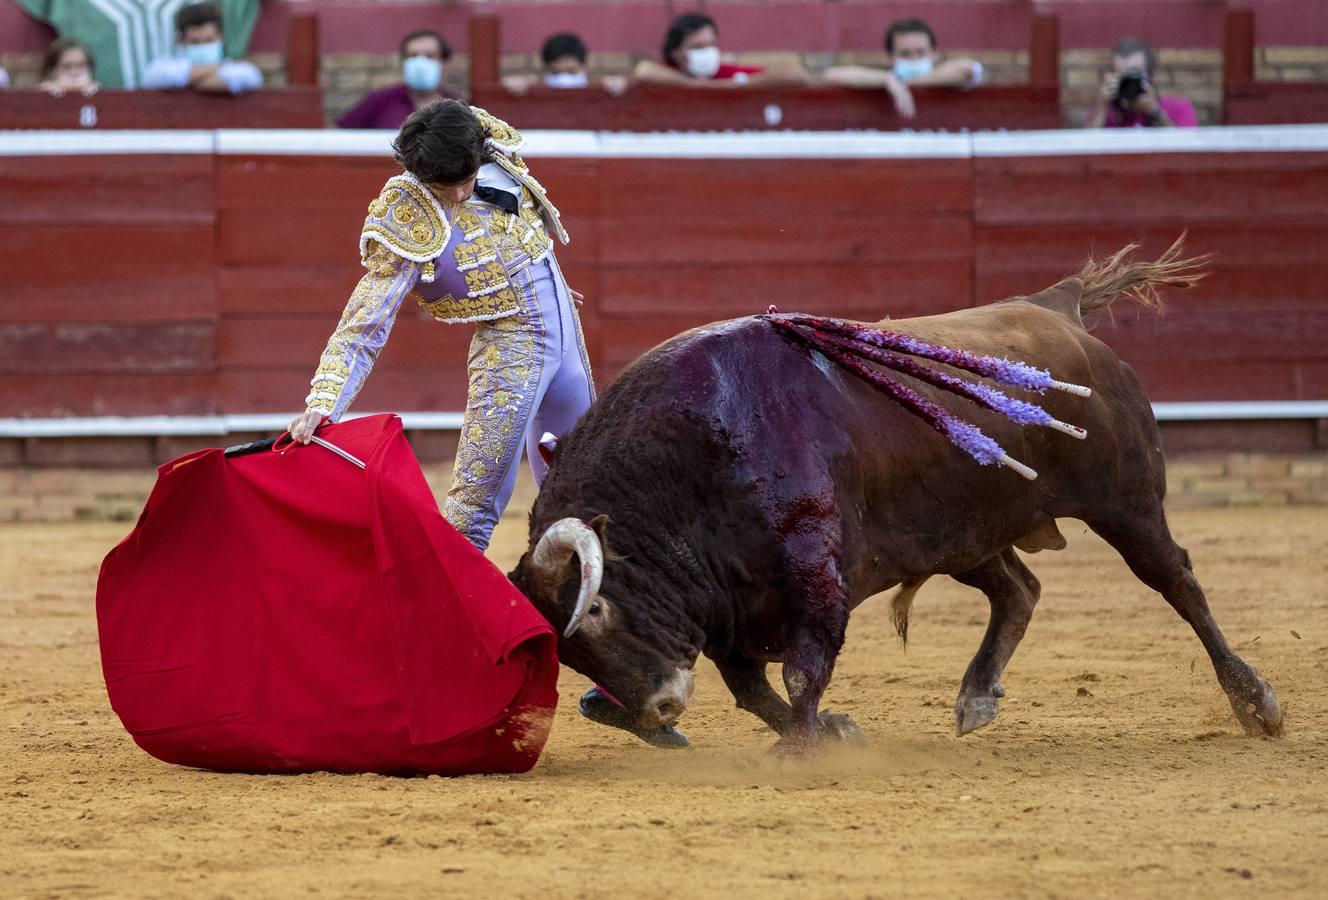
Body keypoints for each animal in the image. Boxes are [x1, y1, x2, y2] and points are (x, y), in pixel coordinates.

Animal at [504, 241, 1274, 753]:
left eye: (596, 607)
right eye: (569, 653)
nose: (659, 710)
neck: (689, 464)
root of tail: (1055, 306)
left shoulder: (811, 572)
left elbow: (802, 668)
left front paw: (800, 747)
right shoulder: (728, 602)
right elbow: (752, 687)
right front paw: (831, 732)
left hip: (1125, 499)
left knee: (1177, 581)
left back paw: (1255, 702)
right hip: (961, 531)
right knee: (1018, 589)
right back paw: (976, 696)